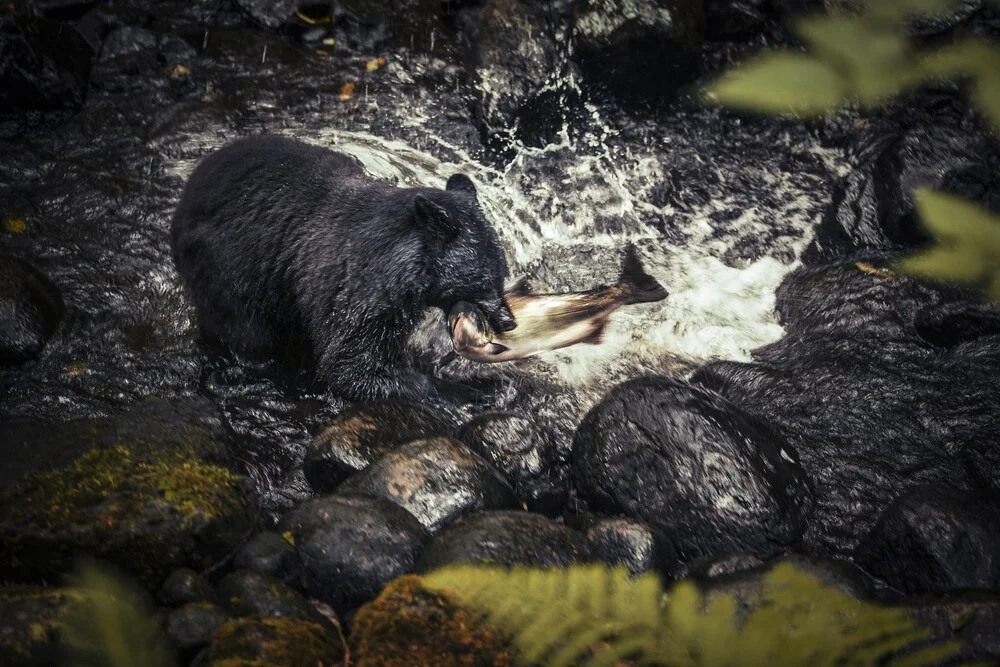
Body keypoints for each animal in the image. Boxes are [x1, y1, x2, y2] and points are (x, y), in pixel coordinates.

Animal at [170, 134, 516, 402]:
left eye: (502, 272)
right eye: (486, 279)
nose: (509, 321)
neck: (404, 268)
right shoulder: (355, 286)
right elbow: (349, 363)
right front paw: (470, 390)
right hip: (227, 273)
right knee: (247, 333)